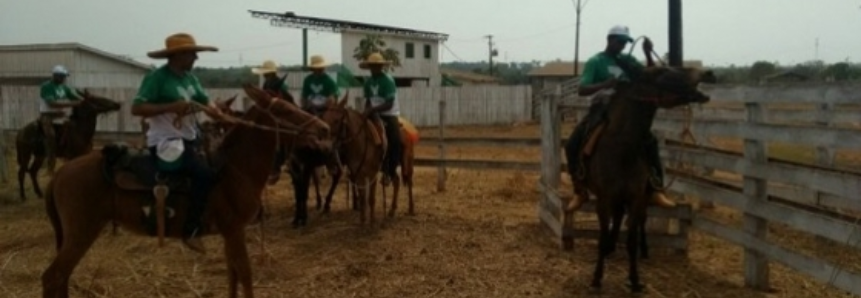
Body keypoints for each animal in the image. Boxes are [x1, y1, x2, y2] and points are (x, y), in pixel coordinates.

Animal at [40, 84, 330, 298]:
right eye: (286, 110)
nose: (324, 128)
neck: (234, 168)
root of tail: (59, 175)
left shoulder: (229, 233)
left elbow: (233, 275)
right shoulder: (235, 230)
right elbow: (245, 274)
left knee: (61, 277)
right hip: (81, 232)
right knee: (53, 277)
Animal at [568, 66, 716, 294]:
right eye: (665, 72)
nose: (708, 73)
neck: (622, 147)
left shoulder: (636, 198)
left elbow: (631, 240)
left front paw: (635, 280)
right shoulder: (604, 200)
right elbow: (602, 237)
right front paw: (596, 279)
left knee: (631, 219)